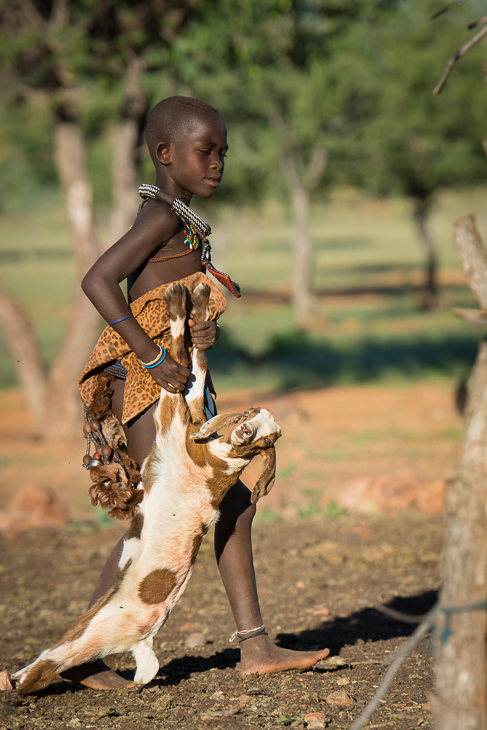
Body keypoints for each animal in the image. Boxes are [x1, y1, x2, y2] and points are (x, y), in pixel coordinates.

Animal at [12, 280, 282, 692]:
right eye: (250, 415)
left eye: (268, 440)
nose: (247, 431)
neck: (216, 457)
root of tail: (143, 641)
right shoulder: (191, 412)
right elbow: (198, 366)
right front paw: (200, 299)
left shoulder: (170, 415)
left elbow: (178, 355)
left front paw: (176, 299)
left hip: (89, 630)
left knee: (48, 663)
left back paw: (14, 681)